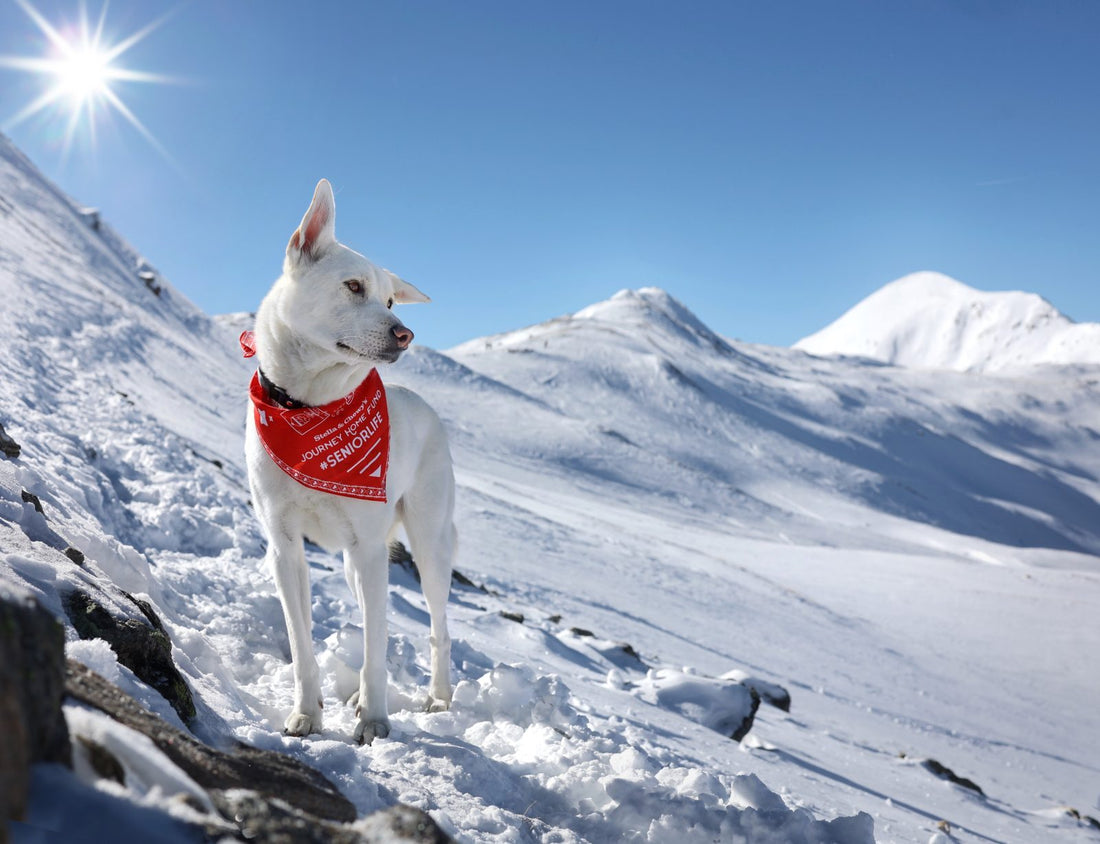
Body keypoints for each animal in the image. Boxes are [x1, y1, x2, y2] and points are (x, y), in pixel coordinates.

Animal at [245, 178, 455, 748]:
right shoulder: (284, 548)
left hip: (424, 547)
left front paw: (375, 721)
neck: (309, 408)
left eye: (389, 299)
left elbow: (378, 649)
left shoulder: (368, 548)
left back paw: (437, 698)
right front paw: (306, 715)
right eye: (353, 286)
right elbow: (301, 645)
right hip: (355, 560)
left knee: (437, 628)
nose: (406, 334)